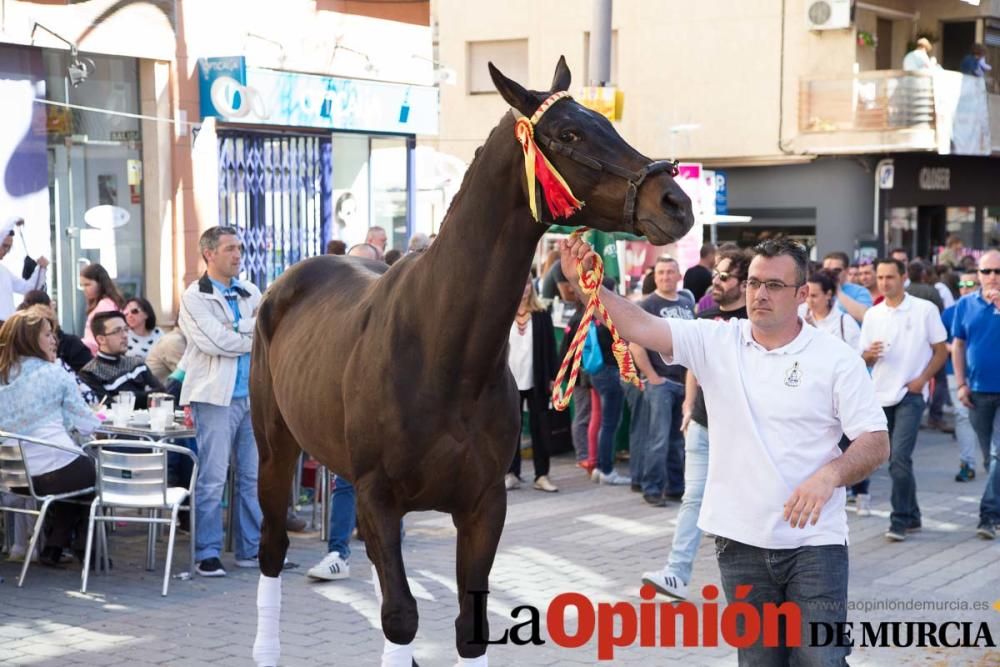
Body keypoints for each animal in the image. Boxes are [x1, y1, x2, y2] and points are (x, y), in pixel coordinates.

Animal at [248, 57, 696, 667]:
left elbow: (470, 624)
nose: (676, 202)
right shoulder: (377, 498)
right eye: (570, 134)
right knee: (271, 547)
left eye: (604, 123)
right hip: (274, 449)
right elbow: (400, 616)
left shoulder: (483, 504)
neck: (445, 353)